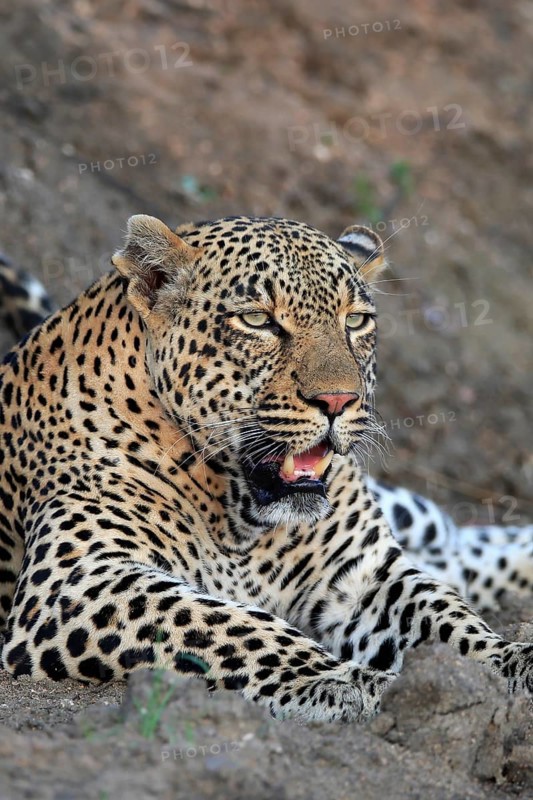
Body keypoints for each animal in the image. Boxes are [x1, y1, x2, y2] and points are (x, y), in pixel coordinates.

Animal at [0, 213, 532, 724]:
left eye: (355, 321)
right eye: (258, 320)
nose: (338, 400)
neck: (239, 514)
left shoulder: (362, 572)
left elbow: (443, 615)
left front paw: (506, 663)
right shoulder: (78, 581)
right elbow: (232, 626)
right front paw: (344, 681)